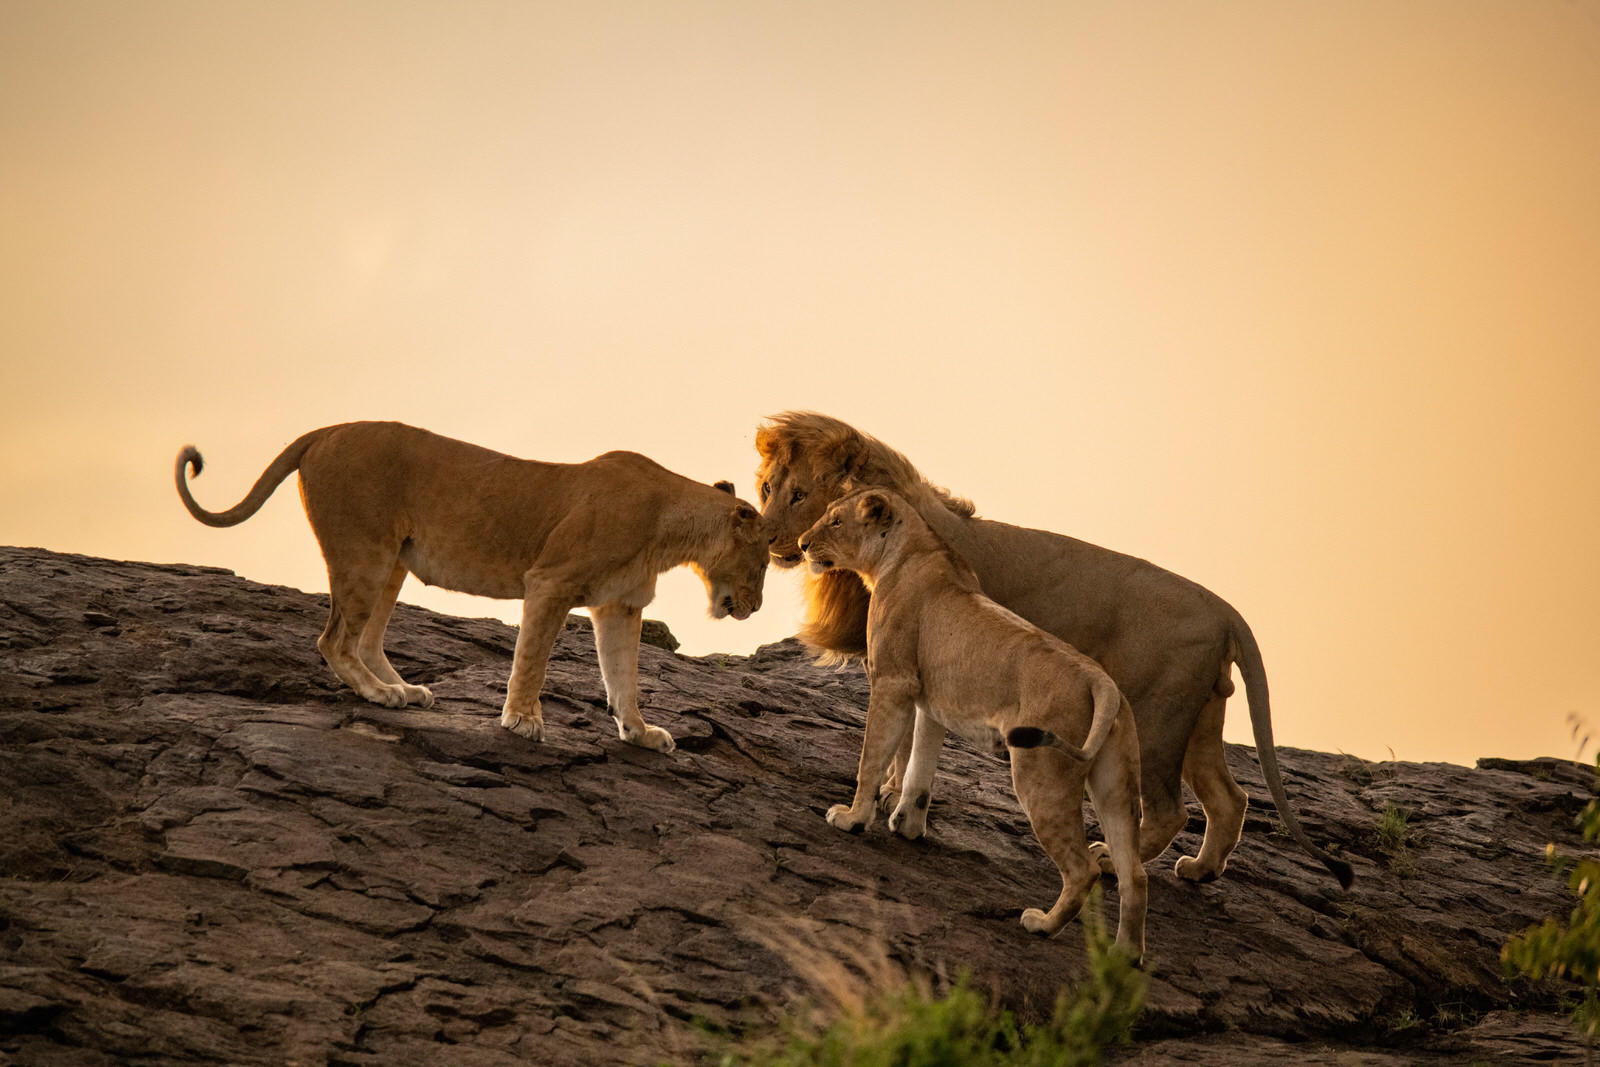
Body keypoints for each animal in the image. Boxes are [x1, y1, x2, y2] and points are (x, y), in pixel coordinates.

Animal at [175, 421, 769, 752]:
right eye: (763, 562)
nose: (757, 606)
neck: (671, 528)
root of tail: (324, 430)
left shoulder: (619, 606)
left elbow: (625, 678)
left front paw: (640, 733)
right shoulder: (550, 580)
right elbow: (533, 658)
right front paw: (523, 721)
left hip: (393, 560)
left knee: (364, 639)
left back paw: (406, 690)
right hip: (364, 552)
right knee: (334, 639)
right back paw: (380, 694)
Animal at [756, 411, 1352, 889]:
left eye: (800, 496)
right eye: (765, 488)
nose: (771, 540)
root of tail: (1226, 609)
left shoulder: (907, 667)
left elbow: (896, 743)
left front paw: (879, 800)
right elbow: (909, 745)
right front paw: (894, 798)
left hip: (1156, 716)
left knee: (1169, 812)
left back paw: (1113, 862)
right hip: (1199, 718)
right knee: (1230, 799)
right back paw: (1200, 871)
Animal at [801, 488, 1147, 959]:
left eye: (835, 521)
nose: (801, 544)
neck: (902, 552)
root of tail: (1101, 680)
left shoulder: (892, 681)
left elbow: (872, 758)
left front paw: (853, 819)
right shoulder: (930, 700)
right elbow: (919, 769)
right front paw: (907, 825)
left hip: (1041, 772)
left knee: (1085, 869)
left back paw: (1042, 925)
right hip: (1114, 783)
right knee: (1134, 875)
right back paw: (1123, 958)